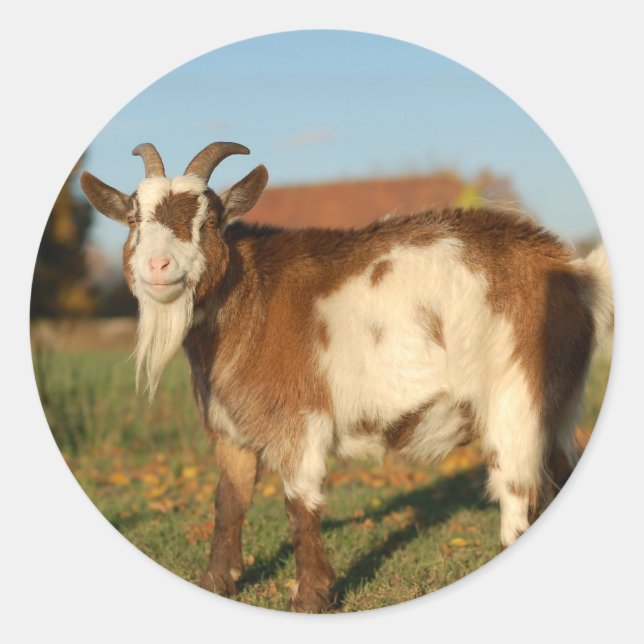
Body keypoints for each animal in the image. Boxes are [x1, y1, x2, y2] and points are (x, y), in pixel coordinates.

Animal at [81, 142, 613, 612]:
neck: (250, 300)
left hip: (517, 399)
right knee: (559, 469)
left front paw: (310, 598)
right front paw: (217, 583)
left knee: (517, 493)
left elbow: (301, 505)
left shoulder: (300, 422)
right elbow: (228, 502)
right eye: (134, 219)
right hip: (560, 405)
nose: (158, 265)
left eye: (209, 221)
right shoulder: (230, 430)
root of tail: (575, 271)